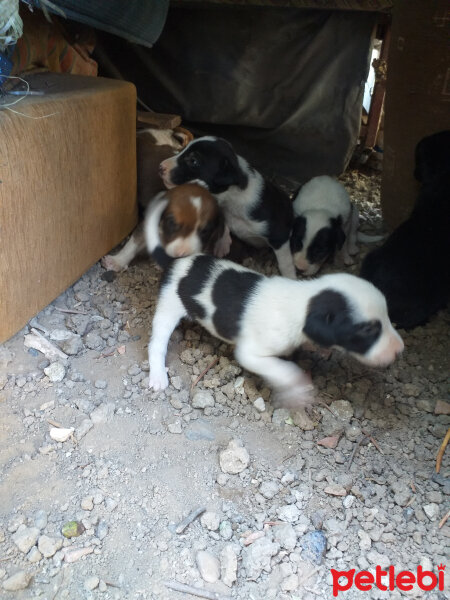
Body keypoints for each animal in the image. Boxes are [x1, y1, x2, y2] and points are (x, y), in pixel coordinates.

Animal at [145, 197, 404, 408]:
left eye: (388, 317)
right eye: (368, 330)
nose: (400, 350)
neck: (303, 301)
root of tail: (175, 262)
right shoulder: (250, 353)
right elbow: (285, 370)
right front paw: (299, 389)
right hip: (168, 308)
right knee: (157, 344)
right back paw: (158, 375)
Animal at [158, 136, 296, 278]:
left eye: (193, 161)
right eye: (183, 149)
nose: (160, 167)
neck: (230, 199)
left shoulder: (279, 234)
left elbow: (285, 262)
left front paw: (290, 278)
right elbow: (223, 223)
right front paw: (222, 244)